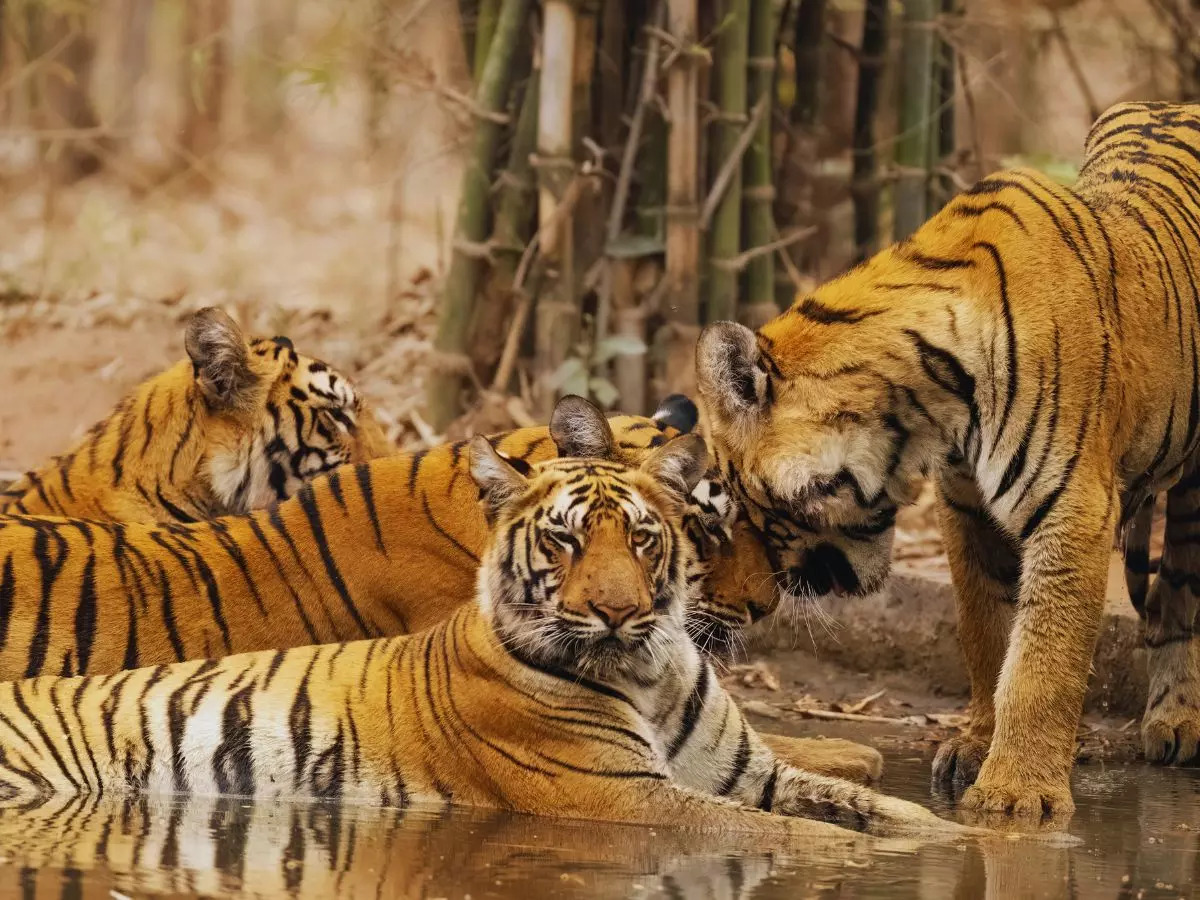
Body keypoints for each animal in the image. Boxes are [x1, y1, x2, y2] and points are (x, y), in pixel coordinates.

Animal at [0, 431, 966, 841]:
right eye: (566, 540)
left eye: (643, 537)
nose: (618, 611)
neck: (652, 668)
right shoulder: (625, 797)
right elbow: (782, 834)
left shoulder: (748, 773)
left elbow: (867, 804)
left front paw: (965, 836)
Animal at [696, 101, 1200, 820]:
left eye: (742, 501)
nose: (765, 600)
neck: (926, 403)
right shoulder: (967, 506)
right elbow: (987, 633)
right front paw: (976, 747)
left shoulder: (1073, 508)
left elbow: (1041, 661)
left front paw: (1016, 794)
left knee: (1182, 585)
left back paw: (1175, 719)